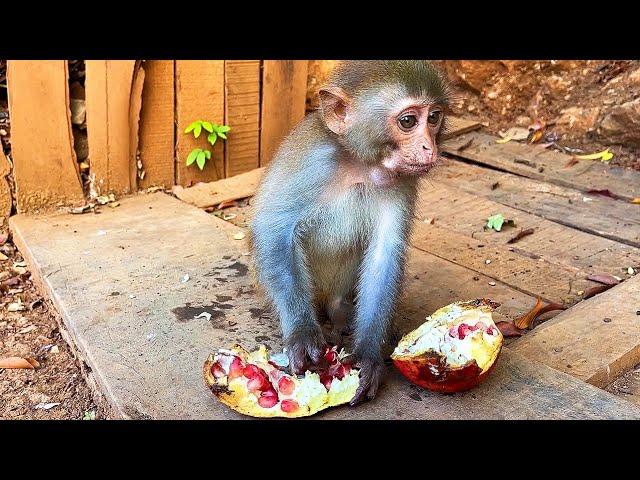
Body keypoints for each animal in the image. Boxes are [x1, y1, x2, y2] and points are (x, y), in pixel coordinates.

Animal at [249, 61, 450, 404]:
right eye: (408, 121)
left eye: (434, 117)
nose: (429, 147)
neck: (360, 164)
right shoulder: (314, 160)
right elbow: (275, 229)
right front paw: (302, 333)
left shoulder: (401, 180)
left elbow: (384, 251)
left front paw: (368, 352)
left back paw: (340, 309)